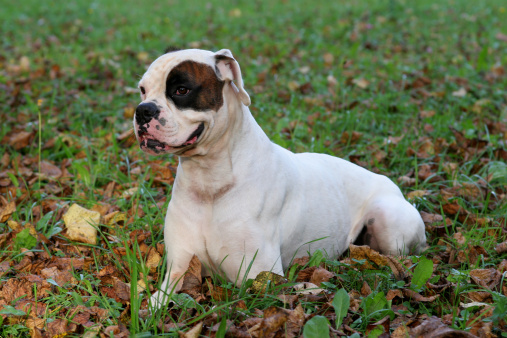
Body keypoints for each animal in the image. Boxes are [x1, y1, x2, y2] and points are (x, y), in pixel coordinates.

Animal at [133, 48, 426, 308]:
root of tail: (389, 182)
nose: (142, 110)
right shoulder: (178, 270)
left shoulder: (257, 277)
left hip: (387, 219)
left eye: (181, 90)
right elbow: (154, 303)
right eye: (143, 90)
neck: (210, 181)